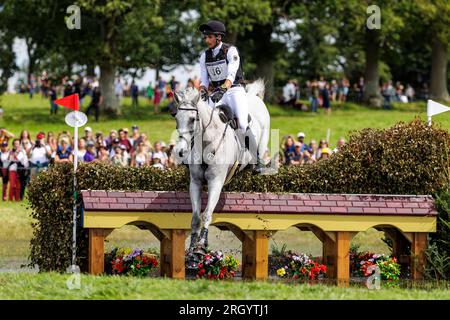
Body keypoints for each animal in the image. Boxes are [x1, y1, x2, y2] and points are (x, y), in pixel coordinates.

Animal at [172, 79, 270, 260]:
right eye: (176, 118)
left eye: (192, 119)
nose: (180, 151)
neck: (207, 143)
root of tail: (252, 96)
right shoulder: (195, 183)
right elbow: (196, 217)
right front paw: (192, 247)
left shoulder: (215, 182)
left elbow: (207, 213)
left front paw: (201, 247)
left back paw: (258, 166)